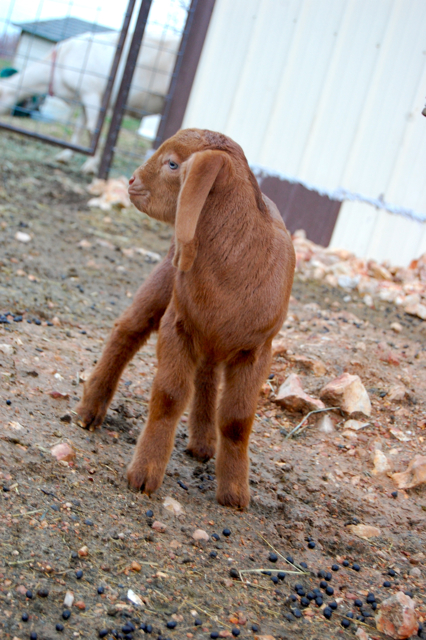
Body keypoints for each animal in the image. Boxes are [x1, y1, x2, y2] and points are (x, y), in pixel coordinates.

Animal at [0, 30, 179, 173]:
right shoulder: (83, 99)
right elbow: (79, 128)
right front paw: (65, 155)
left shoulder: (92, 93)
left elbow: (92, 129)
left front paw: (91, 166)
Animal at [75, 128, 296, 508]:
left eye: (173, 164)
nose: (131, 180)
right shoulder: (177, 325)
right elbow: (169, 395)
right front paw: (144, 475)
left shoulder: (257, 349)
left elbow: (237, 419)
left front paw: (235, 494)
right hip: (166, 278)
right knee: (127, 331)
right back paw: (90, 411)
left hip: (212, 335)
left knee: (207, 373)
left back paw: (204, 444)